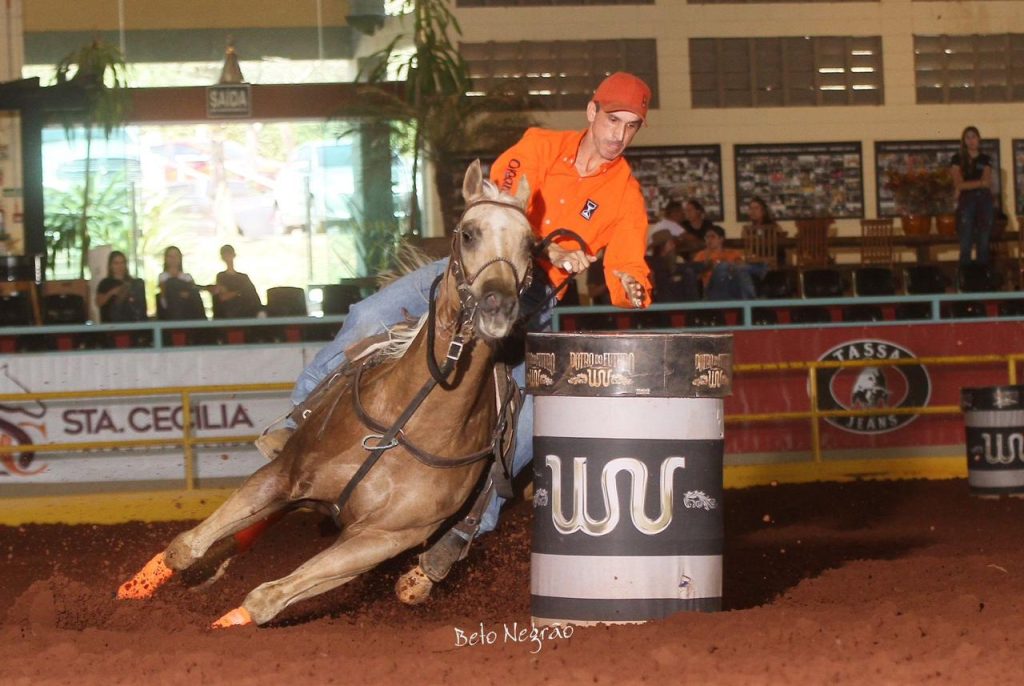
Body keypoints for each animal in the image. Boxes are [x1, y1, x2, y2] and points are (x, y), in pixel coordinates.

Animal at [117, 161, 536, 630]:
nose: (498, 305)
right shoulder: (284, 474)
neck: (408, 423)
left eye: (530, 243)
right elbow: (187, 547)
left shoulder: (380, 540)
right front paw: (138, 590)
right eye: (468, 232)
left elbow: (267, 598)